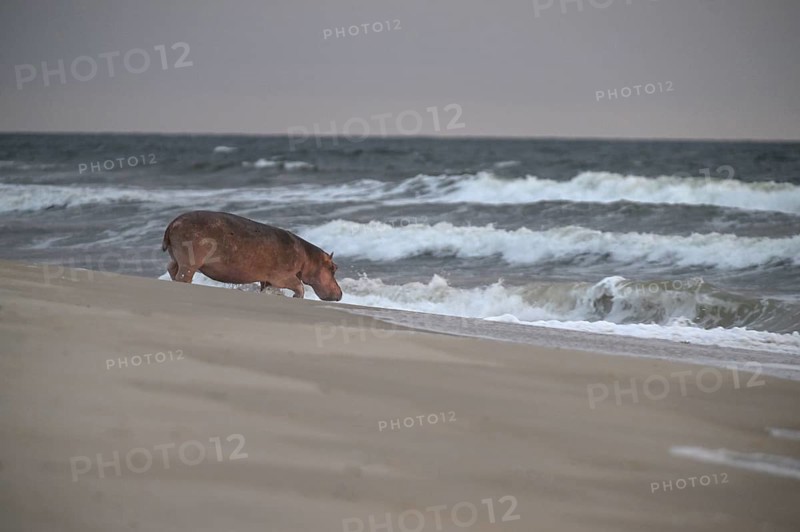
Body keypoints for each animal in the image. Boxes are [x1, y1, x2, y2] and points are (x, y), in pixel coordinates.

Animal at [162, 211, 342, 301]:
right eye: (334, 268)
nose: (340, 293)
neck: (309, 258)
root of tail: (172, 223)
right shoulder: (282, 276)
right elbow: (299, 285)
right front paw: (295, 297)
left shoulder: (268, 279)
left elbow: (267, 287)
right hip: (190, 261)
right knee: (182, 275)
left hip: (178, 257)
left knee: (171, 267)